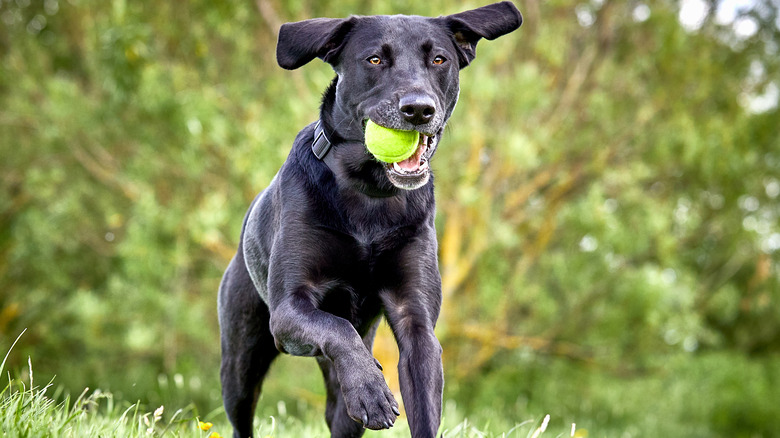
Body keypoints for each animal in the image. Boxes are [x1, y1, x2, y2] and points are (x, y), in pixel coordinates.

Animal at [219, 4, 520, 438]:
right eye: (375, 60)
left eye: (439, 60)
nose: (418, 109)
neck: (370, 192)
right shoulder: (289, 309)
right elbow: (337, 328)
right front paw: (371, 390)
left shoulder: (416, 320)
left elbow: (424, 403)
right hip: (242, 358)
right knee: (243, 410)